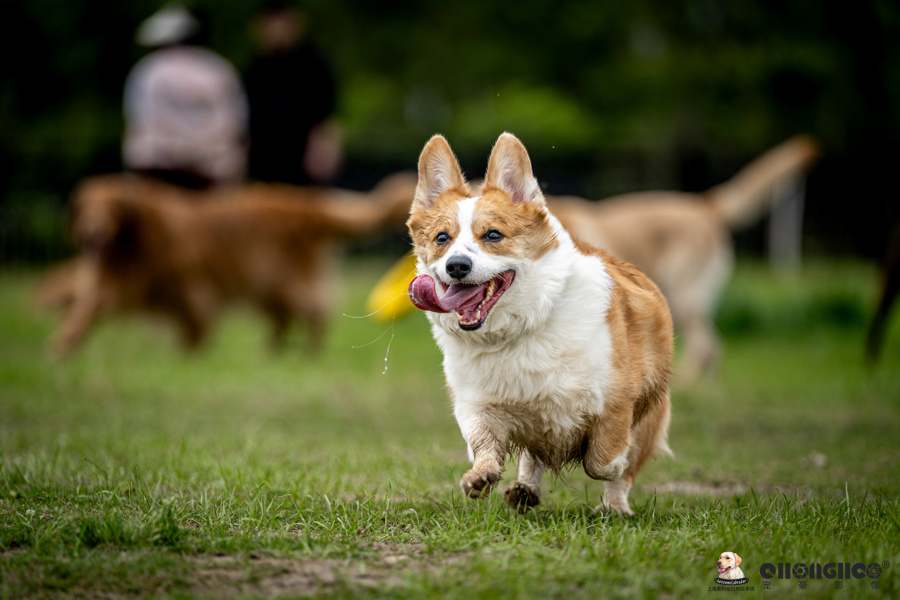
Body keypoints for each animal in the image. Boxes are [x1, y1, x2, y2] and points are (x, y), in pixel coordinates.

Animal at [40, 171, 420, 358]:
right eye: (86, 207)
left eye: (110, 206)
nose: (90, 234)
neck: (136, 240)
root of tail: (306, 204)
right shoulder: (112, 284)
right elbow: (83, 313)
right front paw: (63, 345)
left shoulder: (190, 284)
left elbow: (196, 319)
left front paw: (190, 351)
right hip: (267, 287)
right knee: (284, 319)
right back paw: (271, 350)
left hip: (283, 280)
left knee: (317, 310)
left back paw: (310, 350)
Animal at [404, 134, 672, 512]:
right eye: (442, 238)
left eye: (493, 235)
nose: (456, 265)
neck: (517, 330)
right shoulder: (478, 406)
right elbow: (484, 445)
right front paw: (480, 476)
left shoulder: (616, 401)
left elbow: (602, 460)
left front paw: (616, 467)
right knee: (533, 458)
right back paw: (524, 490)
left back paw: (615, 507)